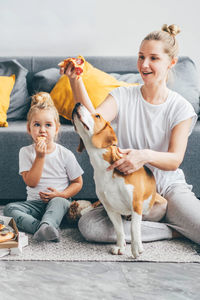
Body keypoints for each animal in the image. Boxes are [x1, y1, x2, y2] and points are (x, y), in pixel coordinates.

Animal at [72, 103, 166, 258]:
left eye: (97, 115)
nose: (77, 104)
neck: (103, 168)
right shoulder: (110, 208)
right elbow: (119, 230)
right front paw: (120, 246)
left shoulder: (136, 204)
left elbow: (134, 229)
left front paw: (136, 248)